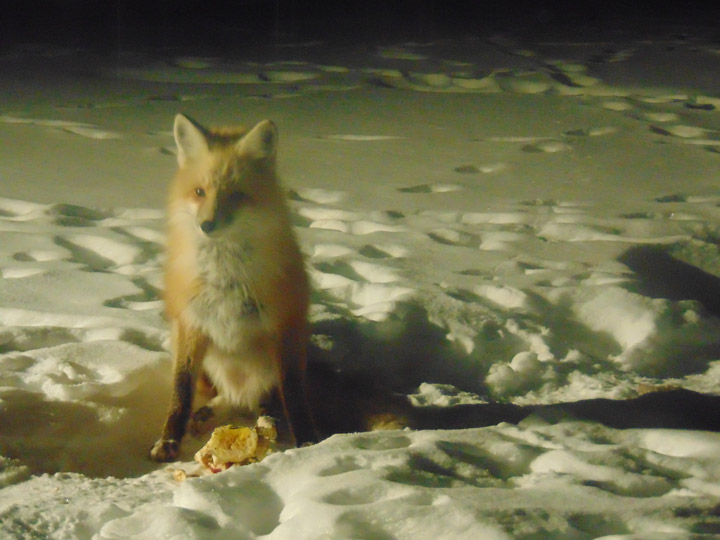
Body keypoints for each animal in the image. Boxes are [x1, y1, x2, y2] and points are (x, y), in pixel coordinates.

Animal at [149, 113, 317, 462]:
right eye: (200, 192)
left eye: (236, 195)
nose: (206, 225)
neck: (225, 276)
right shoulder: (191, 323)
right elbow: (180, 392)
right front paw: (168, 440)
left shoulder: (284, 327)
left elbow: (292, 391)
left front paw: (308, 441)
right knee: (224, 395)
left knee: (260, 398)